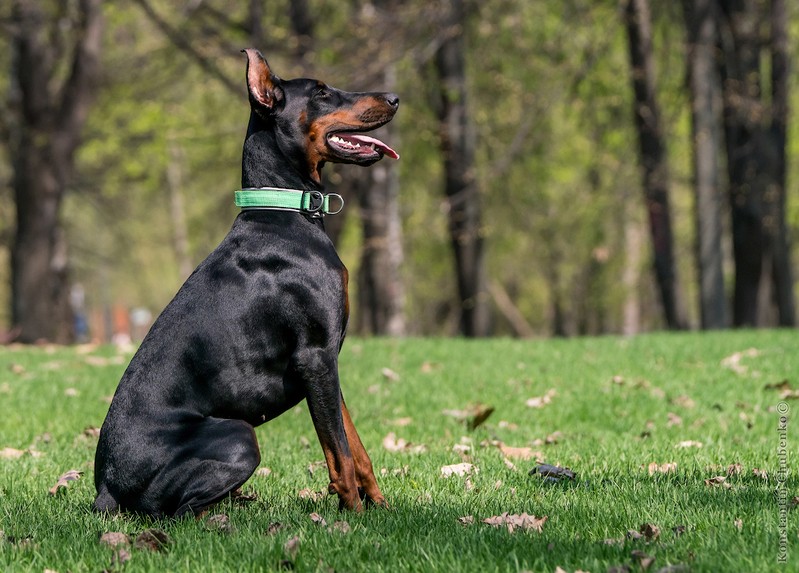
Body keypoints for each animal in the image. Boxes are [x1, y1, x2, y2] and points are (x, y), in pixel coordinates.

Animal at [94, 48, 400, 512]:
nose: (395, 97)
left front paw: (379, 510)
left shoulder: (327, 361)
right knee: (178, 511)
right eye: (322, 93)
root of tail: (105, 488)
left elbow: (355, 446)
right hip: (239, 435)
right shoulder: (315, 355)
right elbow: (340, 456)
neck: (284, 210)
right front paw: (352, 517)